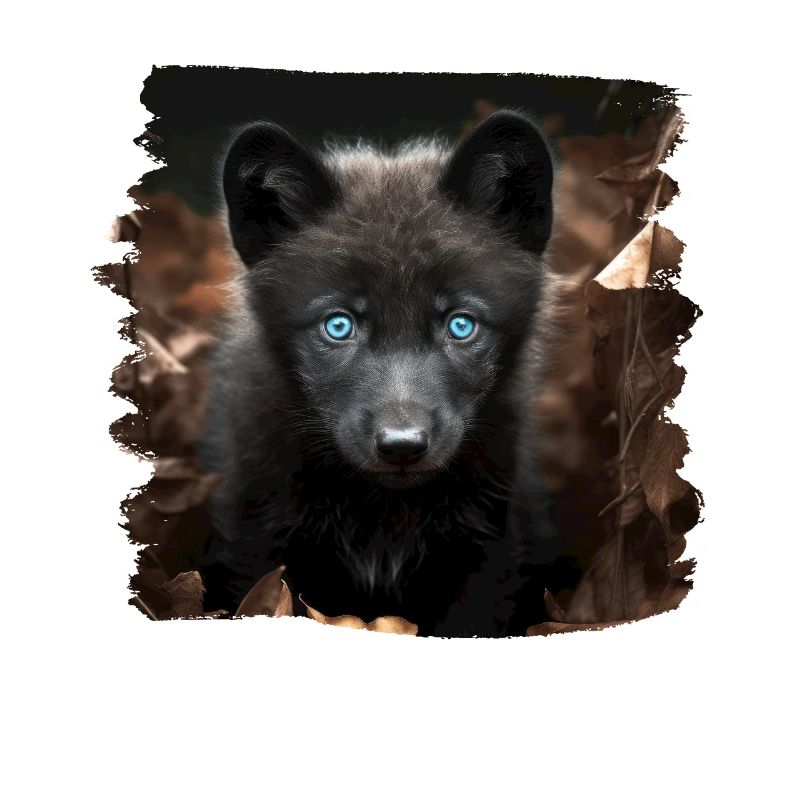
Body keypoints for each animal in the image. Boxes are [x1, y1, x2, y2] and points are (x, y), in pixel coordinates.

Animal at [199, 110, 575, 636]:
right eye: (338, 325)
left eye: (461, 324)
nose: (402, 446)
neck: (385, 516)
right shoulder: (257, 539)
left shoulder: (489, 553)